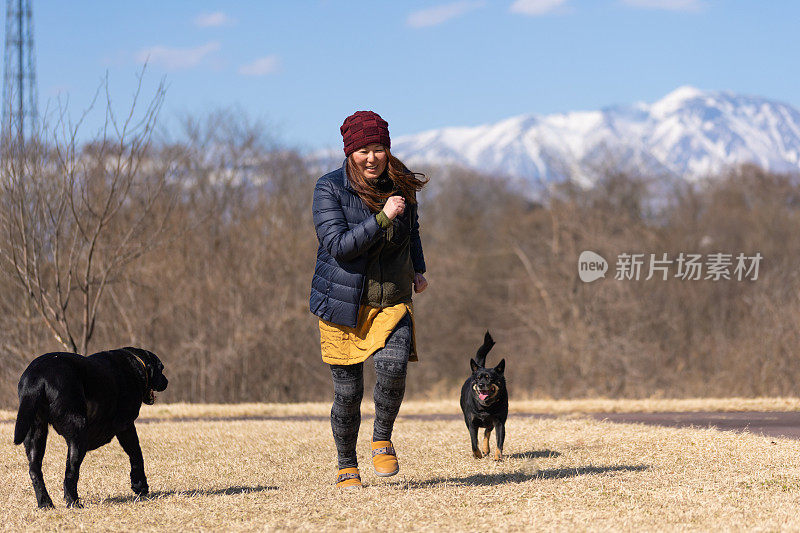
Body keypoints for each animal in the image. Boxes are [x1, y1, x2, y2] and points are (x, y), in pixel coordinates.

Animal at [13, 344, 167, 508]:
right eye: (161, 368)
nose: (166, 381)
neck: (137, 364)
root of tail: (37, 377)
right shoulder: (126, 426)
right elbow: (136, 454)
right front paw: (140, 486)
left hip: (36, 434)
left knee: (35, 470)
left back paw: (45, 503)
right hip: (78, 433)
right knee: (71, 472)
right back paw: (73, 502)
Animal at [460, 330, 510, 460]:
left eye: (490, 378)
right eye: (478, 378)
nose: (481, 384)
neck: (485, 407)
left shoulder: (500, 423)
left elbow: (499, 443)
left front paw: (498, 457)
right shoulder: (472, 423)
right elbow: (473, 443)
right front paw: (477, 455)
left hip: (491, 423)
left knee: (487, 432)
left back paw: (486, 449)